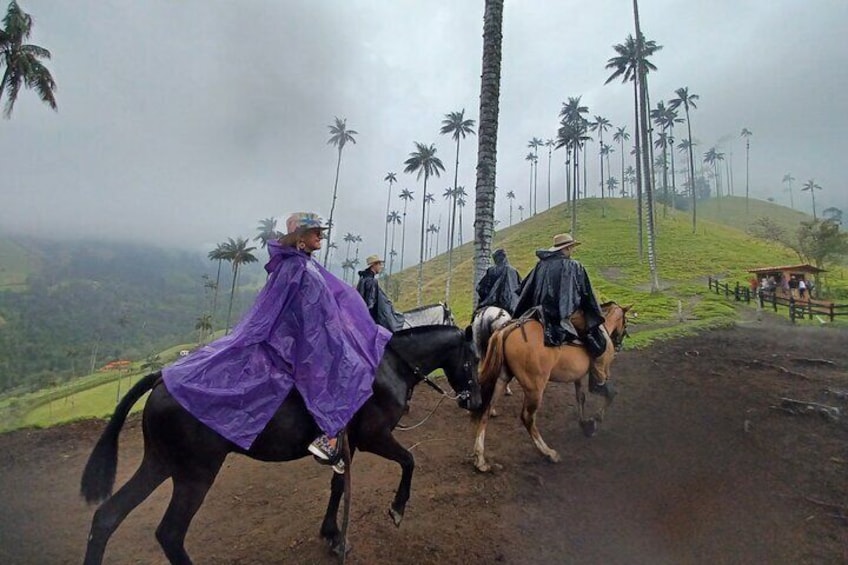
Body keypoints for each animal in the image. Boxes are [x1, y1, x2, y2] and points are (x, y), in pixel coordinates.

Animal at [82, 324, 480, 560]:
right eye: (474, 358)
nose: (474, 401)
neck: (385, 367)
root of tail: (162, 379)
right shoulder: (374, 437)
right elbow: (409, 461)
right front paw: (397, 509)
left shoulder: (347, 444)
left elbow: (338, 485)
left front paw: (333, 534)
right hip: (195, 474)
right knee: (169, 533)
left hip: (161, 462)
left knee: (107, 517)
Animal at [470, 304, 628, 472]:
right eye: (625, 322)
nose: (619, 343)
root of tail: (509, 329)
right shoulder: (601, 373)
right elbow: (610, 393)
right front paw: (595, 419)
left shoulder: (578, 378)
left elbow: (581, 398)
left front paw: (585, 424)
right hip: (534, 389)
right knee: (528, 418)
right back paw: (548, 453)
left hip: (501, 379)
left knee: (486, 411)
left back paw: (480, 459)